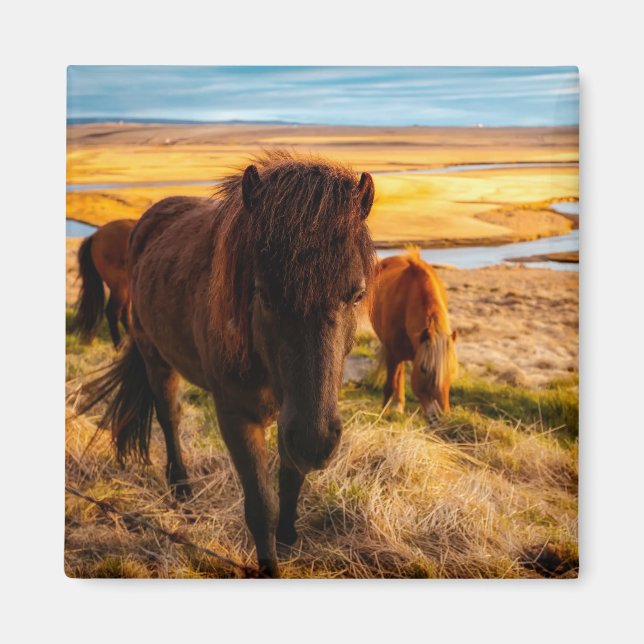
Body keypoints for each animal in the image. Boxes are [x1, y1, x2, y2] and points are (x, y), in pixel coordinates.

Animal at [81, 151, 376, 577]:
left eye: (356, 294)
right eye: (264, 295)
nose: (316, 443)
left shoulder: (294, 415)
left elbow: (291, 478)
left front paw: (288, 537)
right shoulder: (238, 417)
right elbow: (261, 507)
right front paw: (269, 565)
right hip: (156, 357)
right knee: (169, 416)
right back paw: (181, 487)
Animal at [369, 248, 457, 418]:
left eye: (451, 370)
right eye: (424, 369)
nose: (441, 415)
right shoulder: (393, 355)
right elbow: (389, 386)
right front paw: (382, 415)